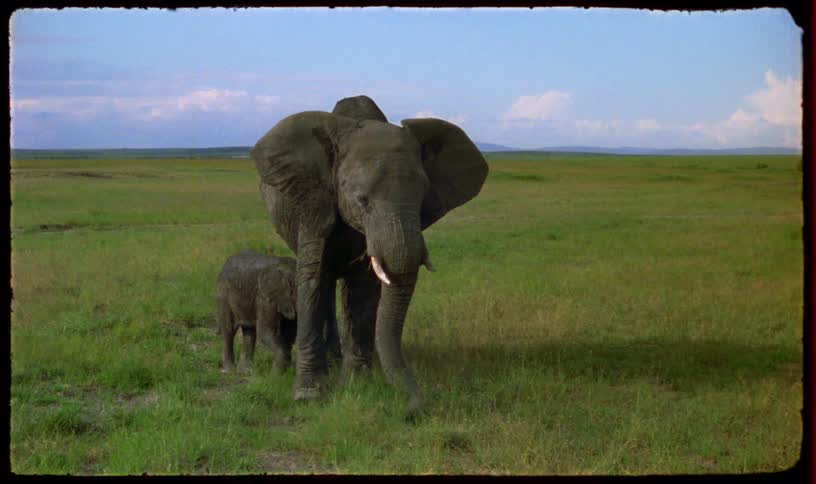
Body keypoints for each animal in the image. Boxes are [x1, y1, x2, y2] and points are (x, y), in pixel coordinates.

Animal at [251, 95, 488, 416]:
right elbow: (311, 278)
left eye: (423, 197)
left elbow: (363, 290)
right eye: (362, 200)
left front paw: (356, 384)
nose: (408, 408)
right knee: (324, 283)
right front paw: (308, 395)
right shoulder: (313, 201)